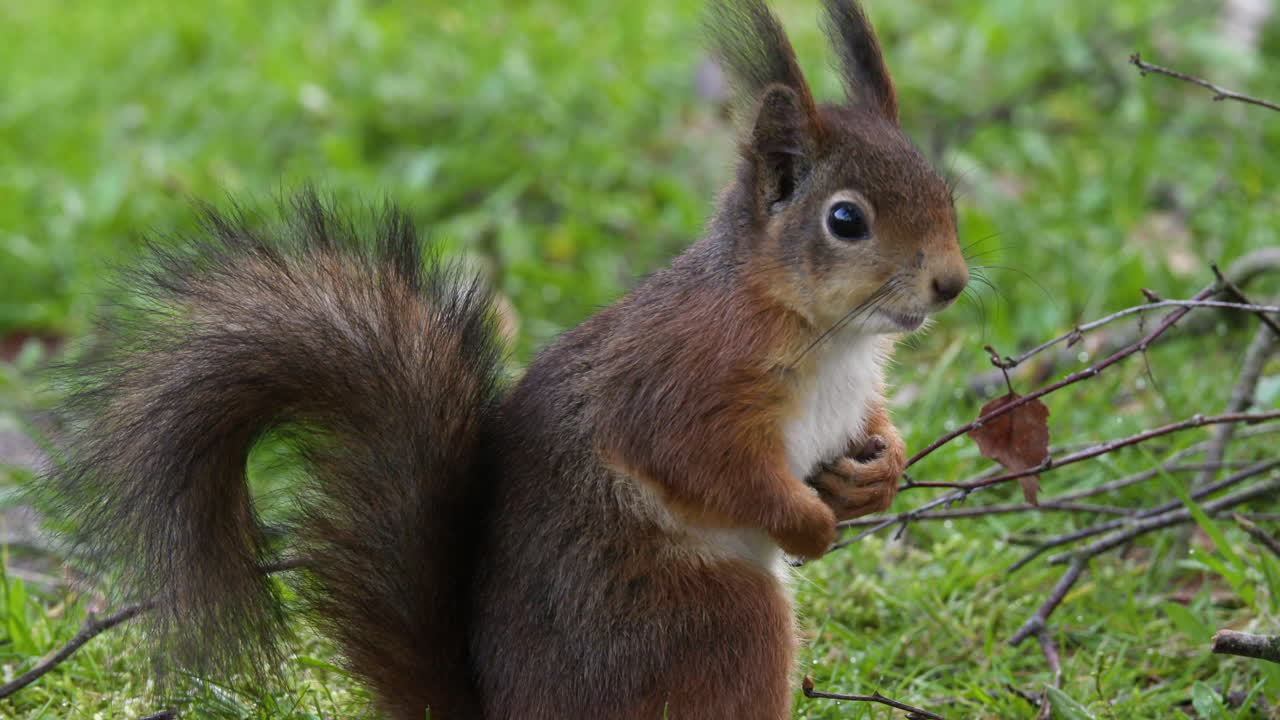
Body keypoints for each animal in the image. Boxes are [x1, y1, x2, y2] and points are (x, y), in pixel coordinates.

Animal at [38, 0, 967, 718]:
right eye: (846, 220)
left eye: (943, 188)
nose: (952, 283)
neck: (829, 334)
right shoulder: (685, 378)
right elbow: (698, 461)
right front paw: (808, 523)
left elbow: (868, 429)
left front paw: (877, 474)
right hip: (712, 622)